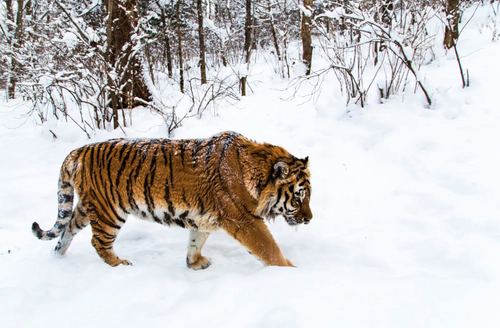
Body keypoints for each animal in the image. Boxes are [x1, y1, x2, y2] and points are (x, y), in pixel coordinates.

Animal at [31, 131, 310, 270]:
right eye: (298, 198)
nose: (309, 219)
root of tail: (77, 151)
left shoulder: (204, 218)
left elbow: (195, 242)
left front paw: (194, 263)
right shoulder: (244, 219)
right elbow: (269, 248)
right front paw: (290, 272)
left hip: (85, 208)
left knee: (66, 230)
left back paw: (57, 257)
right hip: (108, 212)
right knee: (97, 242)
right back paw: (119, 264)